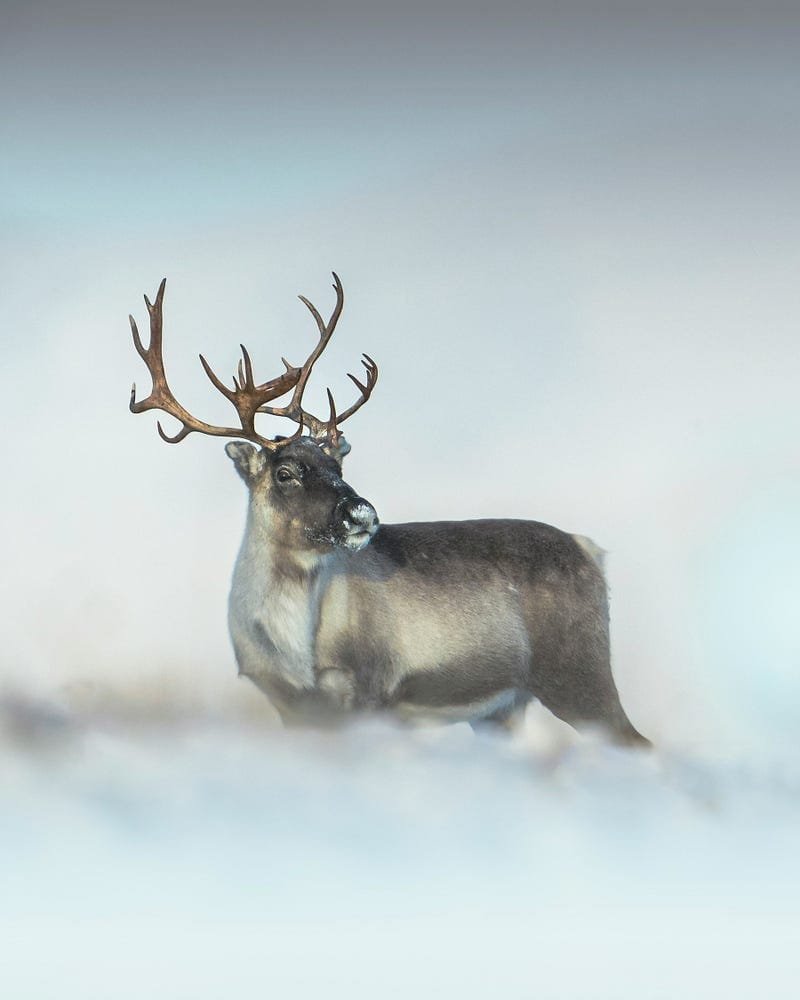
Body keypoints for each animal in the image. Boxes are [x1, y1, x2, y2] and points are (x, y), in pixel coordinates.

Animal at [129, 273, 649, 746]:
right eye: (286, 472)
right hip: (502, 709)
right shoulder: (290, 708)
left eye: (337, 462)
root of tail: (589, 550)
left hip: (578, 676)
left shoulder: (369, 693)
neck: (292, 647)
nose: (362, 513)